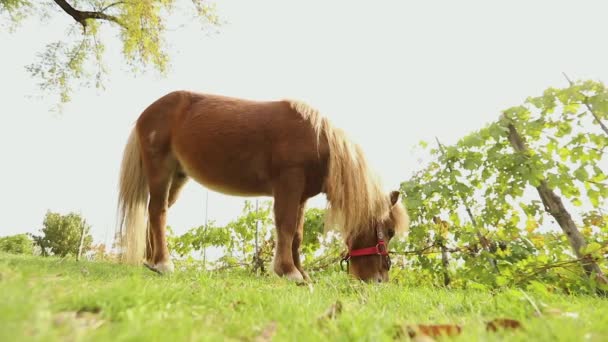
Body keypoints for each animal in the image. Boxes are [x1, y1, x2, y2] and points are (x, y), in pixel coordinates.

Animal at [115, 89, 408, 282]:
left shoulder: (301, 195)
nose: (379, 280)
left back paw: (151, 261)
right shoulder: (288, 184)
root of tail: (148, 112)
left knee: (156, 213)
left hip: (177, 178)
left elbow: (297, 234)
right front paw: (288, 272)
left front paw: (301, 273)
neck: (317, 141)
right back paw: (163, 263)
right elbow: (286, 226)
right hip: (160, 171)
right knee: (157, 212)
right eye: (389, 231)